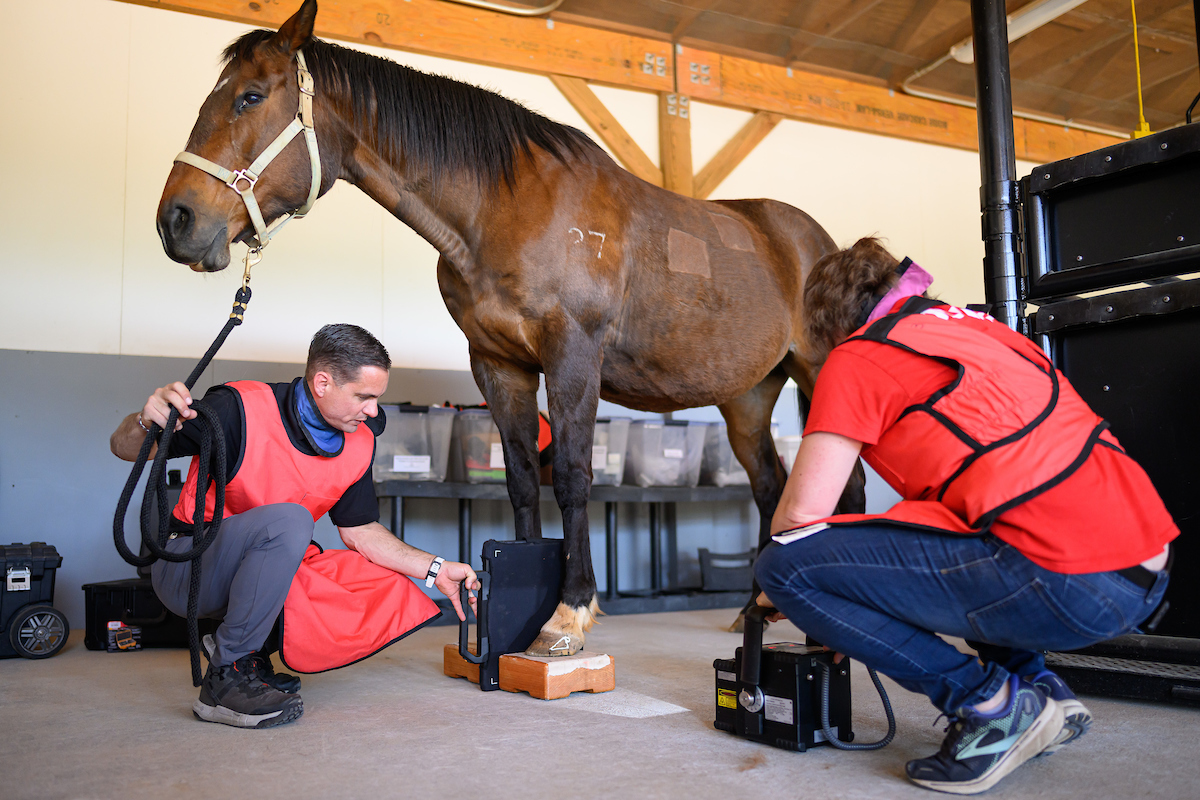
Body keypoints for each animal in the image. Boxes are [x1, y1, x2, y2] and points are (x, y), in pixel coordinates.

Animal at [157, 1, 864, 657]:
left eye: (251, 97)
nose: (176, 221)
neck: (506, 208)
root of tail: (825, 247)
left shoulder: (572, 355)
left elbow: (572, 476)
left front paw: (571, 612)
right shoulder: (498, 364)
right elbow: (523, 478)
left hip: (819, 373)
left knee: (844, 482)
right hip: (747, 397)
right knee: (770, 486)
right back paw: (756, 610)